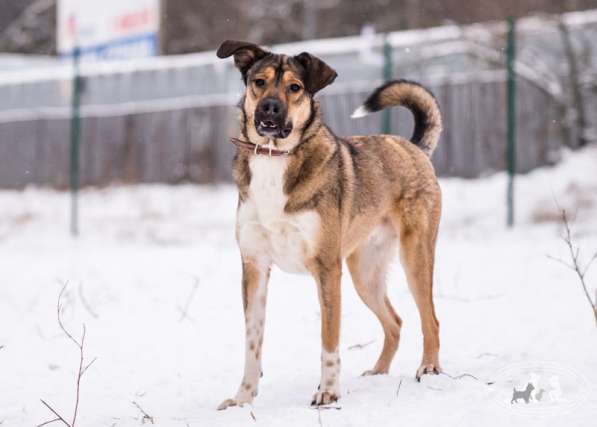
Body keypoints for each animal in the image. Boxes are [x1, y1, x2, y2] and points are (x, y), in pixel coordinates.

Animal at [215, 41, 442, 412]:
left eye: (295, 87)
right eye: (259, 82)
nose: (270, 108)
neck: (274, 157)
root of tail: (414, 147)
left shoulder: (326, 269)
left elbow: (329, 338)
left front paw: (329, 392)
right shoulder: (254, 266)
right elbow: (252, 341)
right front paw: (243, 398)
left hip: (415, 258)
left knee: (430, 319)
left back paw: (430, 368)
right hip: (365, 274)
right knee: (395, 322)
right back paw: (378, 373)